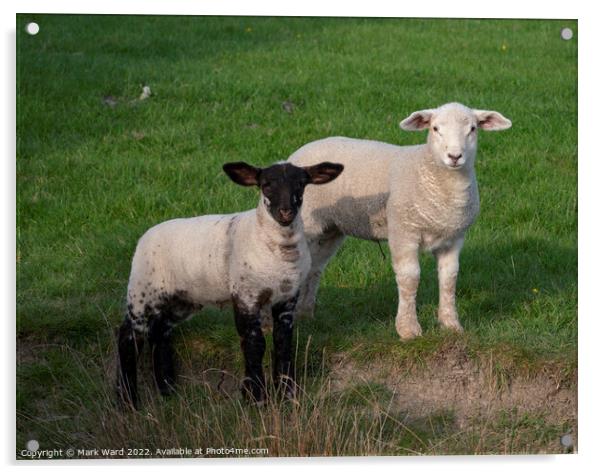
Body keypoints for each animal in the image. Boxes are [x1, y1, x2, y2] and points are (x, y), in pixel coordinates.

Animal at [116, 160, 342, 408]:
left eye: (301, 184)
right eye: (266, 184)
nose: (286, 212)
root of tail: (146, 235)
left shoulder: (288, 297)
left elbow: (283, 343)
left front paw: (287, 395)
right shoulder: (245, 295)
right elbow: (254, 343)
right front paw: (256, 397)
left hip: (181, 300)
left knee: (160, 332)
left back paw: (167, 389)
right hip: (141, 291)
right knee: (129, 337)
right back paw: (127, 399)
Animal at [288, 103, 508, 340]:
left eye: (473, 129)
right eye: (435, 128)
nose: (454, 156)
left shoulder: (454, 237)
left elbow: (449, 279)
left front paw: (450, 324)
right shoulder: (404, 232)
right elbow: (410, 278)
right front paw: (408, 329)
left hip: (330, 229)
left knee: (314, 268)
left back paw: (304, 314)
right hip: (304, 223)